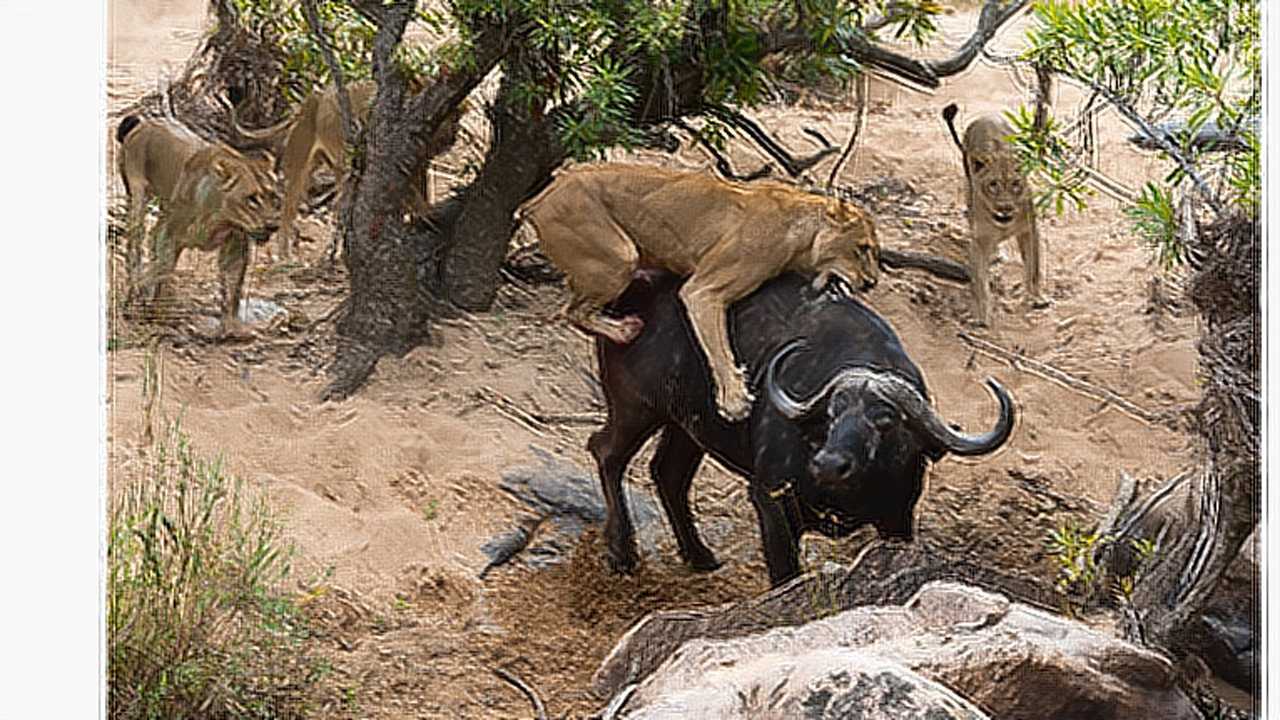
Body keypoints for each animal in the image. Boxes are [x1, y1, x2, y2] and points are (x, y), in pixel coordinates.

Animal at [116, 114, 279, 338]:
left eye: (272, 196)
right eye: (251, 199)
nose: (272, 226)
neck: (219, 219)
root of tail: (143, 122)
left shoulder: (236, 243)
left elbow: (233, 286)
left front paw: (231, 328)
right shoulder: (169, 231)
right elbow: (162, 270)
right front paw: (154, 310)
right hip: (138, 195)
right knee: (135, 244)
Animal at [227, 80, 468, 258]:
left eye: (456, 116)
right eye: (448, 117)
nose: (453, 136)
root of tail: (314, 97)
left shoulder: (420, 164)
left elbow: (421, 190)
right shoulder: (390, 160)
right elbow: (412, 193)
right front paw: (428, 215)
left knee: (331, 206)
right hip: (309, 167)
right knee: (292, 210)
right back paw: (288, 256)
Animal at [514, 162, 885, 420]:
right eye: (862, 249)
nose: (872, 282)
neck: (800, 235)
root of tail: (540, 197)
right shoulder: (704, 290)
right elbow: (718, 346)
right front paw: (734, 400)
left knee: (574, 311)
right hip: (620, 255)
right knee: (571, 311)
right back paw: (624, 330)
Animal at [586, 269, 1013, 584]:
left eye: (886, 419)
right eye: (832, 414)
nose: (829, 464)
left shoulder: (898, 517)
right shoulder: (770, 501)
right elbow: (785, 572)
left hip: (690, 425)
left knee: (668, 474)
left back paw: (700, 556)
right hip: (636, 406)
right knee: (606, 451)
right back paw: (623, 553)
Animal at [942, 101, 1049, 325]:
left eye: (1016, 184)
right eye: (993, 185)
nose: (1005, 207)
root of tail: (985, 116)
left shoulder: (1029, 231)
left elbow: (1033, 268)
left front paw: (1037, 298)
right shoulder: (979, 241)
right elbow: (980, 284)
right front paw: (982, 316)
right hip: (968, 183)